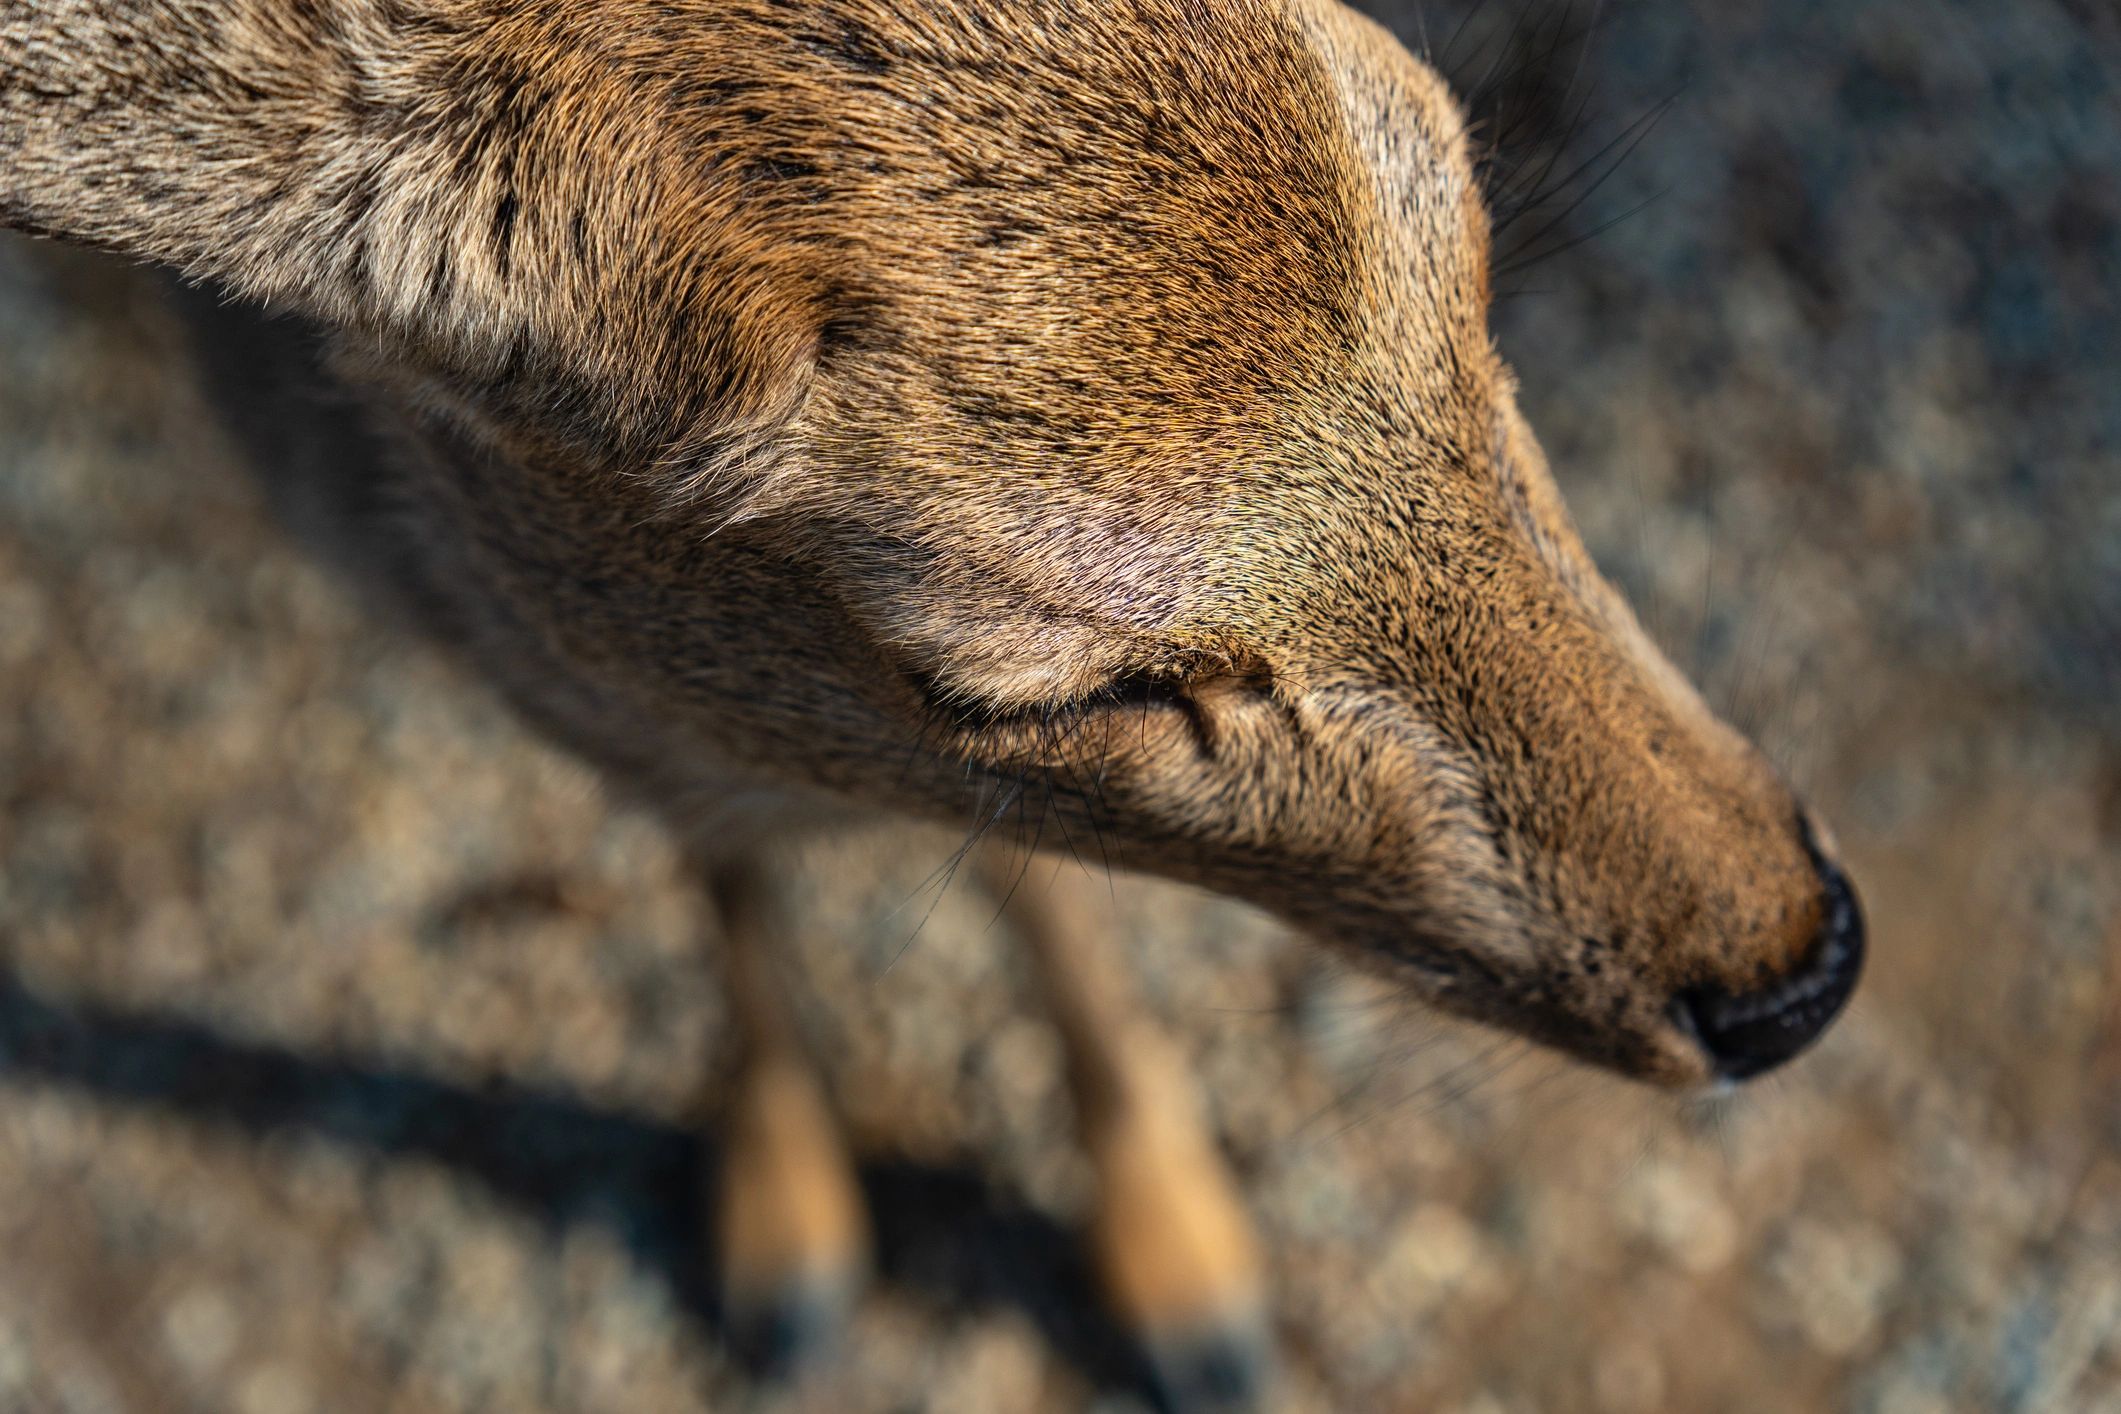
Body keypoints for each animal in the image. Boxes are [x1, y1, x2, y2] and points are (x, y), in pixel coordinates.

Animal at [0, 0, 1866, 1401]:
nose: (1795, 963)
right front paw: (786, 1233)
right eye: (1039, 681)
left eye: (1465, 223)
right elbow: (715, 824)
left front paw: (1185, 1269)